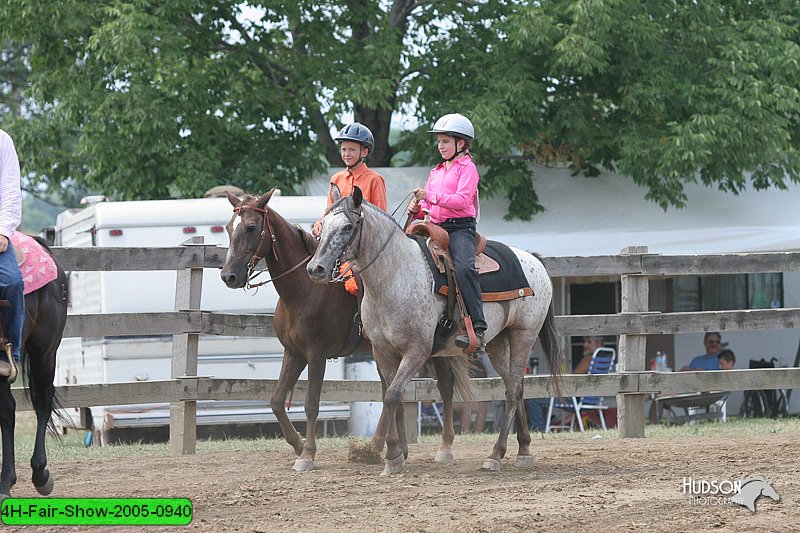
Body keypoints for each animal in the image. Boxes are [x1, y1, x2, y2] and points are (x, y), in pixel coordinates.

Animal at [308, 188, 564, 474]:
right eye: (321, 226)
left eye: (348, 226)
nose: (315, 268)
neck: (396, 276)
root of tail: (534, 260)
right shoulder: (383, 352)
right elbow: (391, 396)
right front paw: (396, 453)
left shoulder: (417, 351)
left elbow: (393, 395)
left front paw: (393, 457)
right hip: (499, 343)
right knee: (515, 386)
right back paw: (524, 449)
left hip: (523, 335)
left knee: (513, 391)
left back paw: (495, 455)